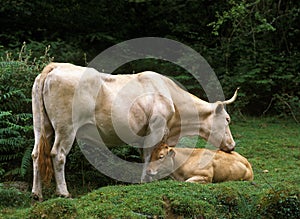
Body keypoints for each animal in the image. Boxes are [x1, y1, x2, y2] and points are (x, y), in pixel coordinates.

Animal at [31, 62, 238, 201]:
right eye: (228, 119)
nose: (232, 145)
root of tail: (55, 66)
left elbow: (146, 156)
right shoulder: (156, 129)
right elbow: (149, 156)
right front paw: (147, 181)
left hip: (41, 125)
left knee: (36, 154)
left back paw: (36, 194)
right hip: (66, 126)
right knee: (58, 154)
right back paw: (63, 193)